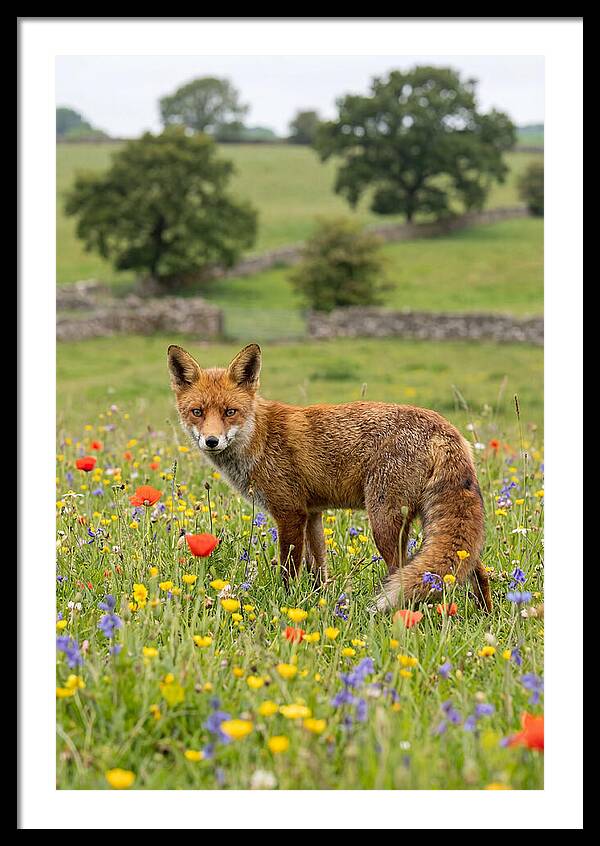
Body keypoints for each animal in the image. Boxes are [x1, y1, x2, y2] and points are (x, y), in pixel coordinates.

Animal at [167, 342, 492, 613]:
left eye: (230, 411)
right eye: (197, 412)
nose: (211, 441)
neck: (259, 438)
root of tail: (444, 428)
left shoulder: (290, 513)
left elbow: (289, 570)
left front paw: (286, 603)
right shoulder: (312, 514)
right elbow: (318, 570)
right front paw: (318, 602)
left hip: (384, 521)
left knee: (401, 572)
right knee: (476, 570)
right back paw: (484, 615)